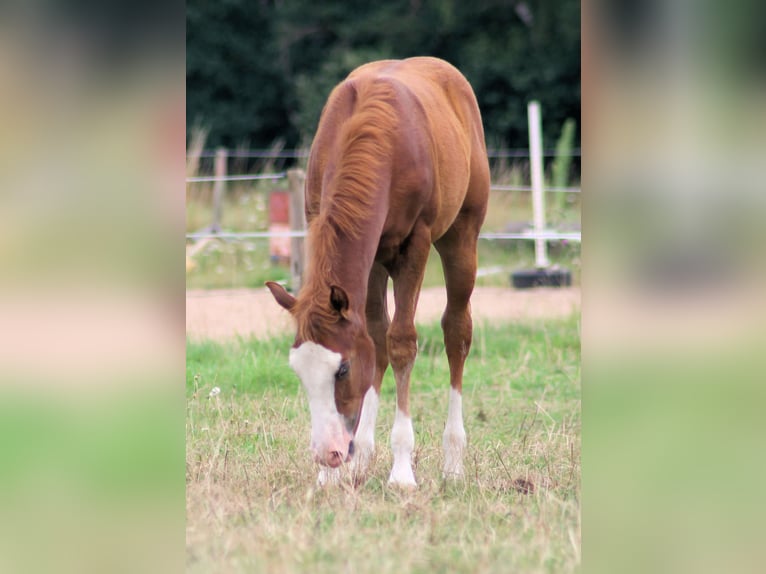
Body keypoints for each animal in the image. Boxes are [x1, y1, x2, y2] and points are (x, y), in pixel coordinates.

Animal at [268, 56, 488, 488]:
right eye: (299, 372)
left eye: (342, 370)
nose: (328, 454)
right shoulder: (363, 258)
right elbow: (373, 340)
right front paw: (337, 473)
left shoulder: (414, 245)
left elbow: (402, 343)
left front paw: (401, 470)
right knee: (377, 335)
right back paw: (364, 456)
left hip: (461, 238)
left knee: (456, 331)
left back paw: (453, 460)